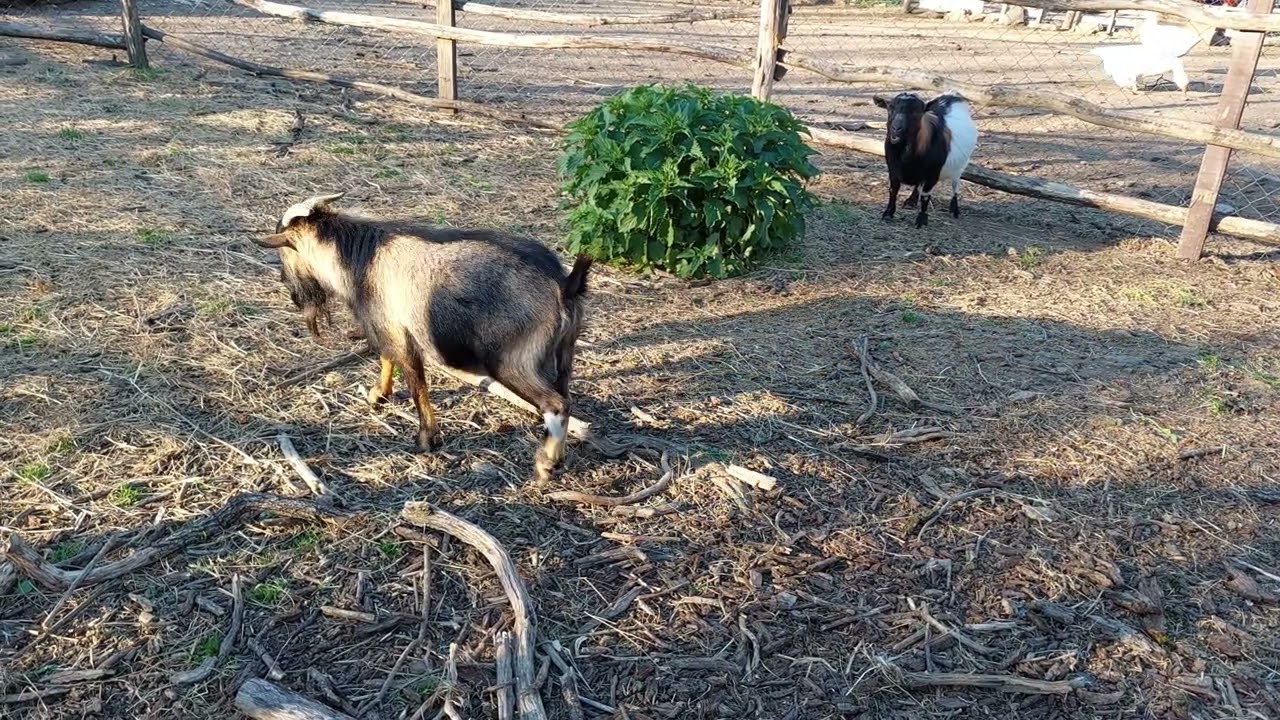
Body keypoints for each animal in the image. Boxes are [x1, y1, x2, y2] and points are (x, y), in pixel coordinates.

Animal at [254, 193, 593, 483]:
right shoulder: (389, 327)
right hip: (564, 351)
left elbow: (415, 383)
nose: (291, 290)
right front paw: (379, 394)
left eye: (284, 251)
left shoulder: (399, 333)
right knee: (566, 395)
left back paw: (545, 465)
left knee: (557, 404)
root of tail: (564, 285)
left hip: (512, 362)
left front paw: (426, 439)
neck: (362, 257)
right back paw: (557, 454)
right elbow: (386, 358)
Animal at [873, 91, 978, 228]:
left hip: (960, 167)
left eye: (917, 112)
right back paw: (911, 201)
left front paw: (921, 220)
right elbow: (893, 190)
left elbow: (925, 196)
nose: (896, 129)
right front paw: (888, 214)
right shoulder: (893, 169)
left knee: (955, 185)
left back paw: (954, 210)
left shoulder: (932, 174)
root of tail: (952, 95)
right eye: (890, 108)